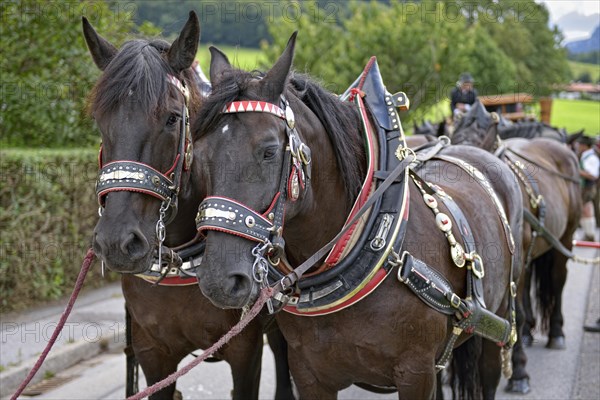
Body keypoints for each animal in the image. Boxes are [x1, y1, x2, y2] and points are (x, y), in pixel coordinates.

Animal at [191, 35, 520, 400]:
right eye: (199, 152)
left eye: (269, 151)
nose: (219, 281)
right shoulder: (309, 374)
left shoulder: (417, 373)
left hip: (497, 318)